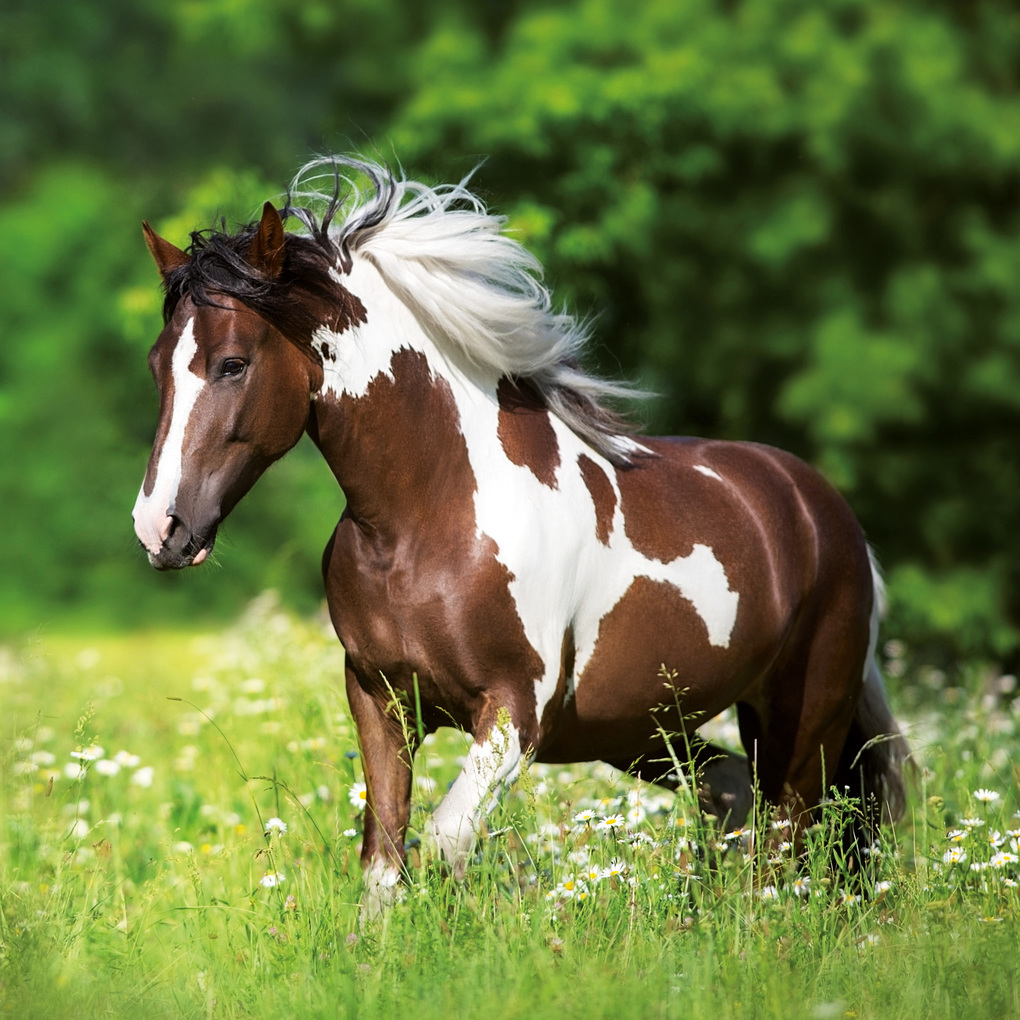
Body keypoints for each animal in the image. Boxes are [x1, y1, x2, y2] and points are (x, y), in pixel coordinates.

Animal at [132, 156, 907, 913]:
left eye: (233, 363)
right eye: (155, 365)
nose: (159, 527)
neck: (425, 523)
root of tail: (823, 509)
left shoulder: (514, 713)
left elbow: (446, 841)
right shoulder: (381, 702)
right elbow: (383, 859)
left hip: (802, 724)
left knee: (789, 842)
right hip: (646, 730)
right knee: (732, 796)